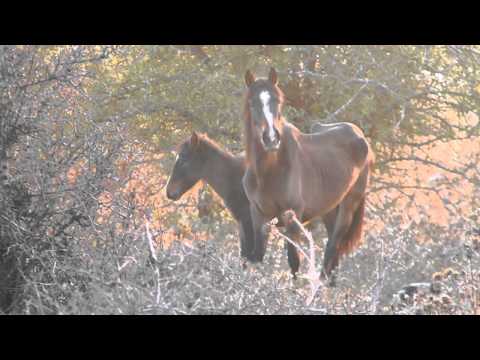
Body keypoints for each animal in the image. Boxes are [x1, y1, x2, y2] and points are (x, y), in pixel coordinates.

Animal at [244, 68, 376, 282]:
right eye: (252, 103)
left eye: (277, 101)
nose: (271, 139)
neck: (269, 172)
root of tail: (360, 135)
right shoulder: (258, 215)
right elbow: (257, 258)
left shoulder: (293, 218)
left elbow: (294, 262)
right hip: (330, 209)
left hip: (348, 205)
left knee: (332, 248)